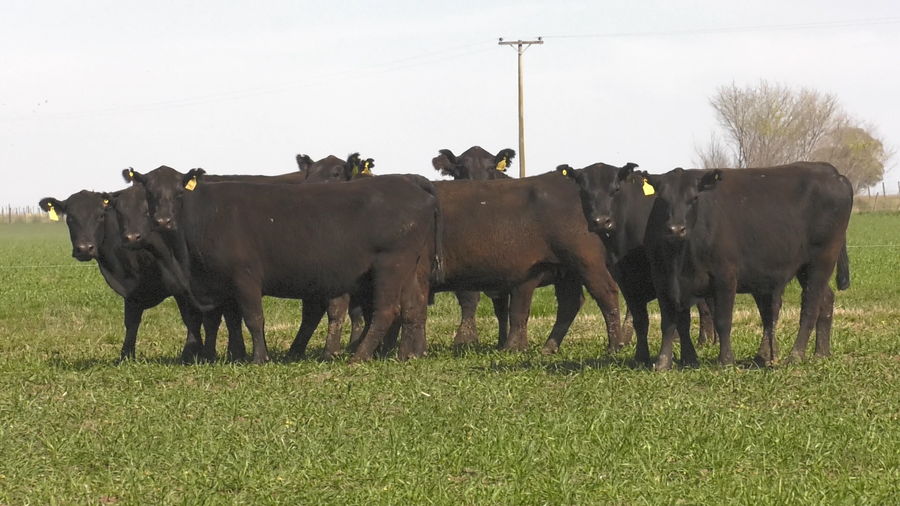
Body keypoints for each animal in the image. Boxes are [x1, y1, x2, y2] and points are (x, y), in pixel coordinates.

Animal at [38, 189, 245, 363]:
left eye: (100, 216)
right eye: (70, 218)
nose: (84, 249)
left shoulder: (183, 288)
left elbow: (192, 319)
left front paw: (190, 354)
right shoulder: (131, 292)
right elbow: (131, 322)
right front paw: (126, 356)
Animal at [120, 162, 443, 364]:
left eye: (178, 192)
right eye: (149, 192)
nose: (163, 221)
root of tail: (410, 180)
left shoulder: (245, 276)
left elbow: (253, 317)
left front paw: (258, 358)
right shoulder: (222, 285)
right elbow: (230, 321)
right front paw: (232, 356)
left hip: (391, 265)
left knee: (387, 310)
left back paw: (359, 357)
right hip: (410, 268)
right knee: (413, 306)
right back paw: (408, 354)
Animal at [559, 162, 718, 366]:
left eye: (616, 189)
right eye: (583, 191)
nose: (601, 221)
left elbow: (680, 319)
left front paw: (686, 357)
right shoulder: (626, 282)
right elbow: (640, 320)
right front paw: (641, 357)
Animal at [636, 163, 852, 369]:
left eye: (695, 197)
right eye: (662, 198)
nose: (676, 229)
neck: (680, 257)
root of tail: (832, 172)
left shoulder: (725, 275)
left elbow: (722, 321)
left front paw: (726, 361)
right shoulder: (663, 279)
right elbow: (670, 321)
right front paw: (665, 362)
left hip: (821, 260)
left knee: (810, 308)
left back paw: (796, 356)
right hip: (805, 268)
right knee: (826, 299)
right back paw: (821, 353)